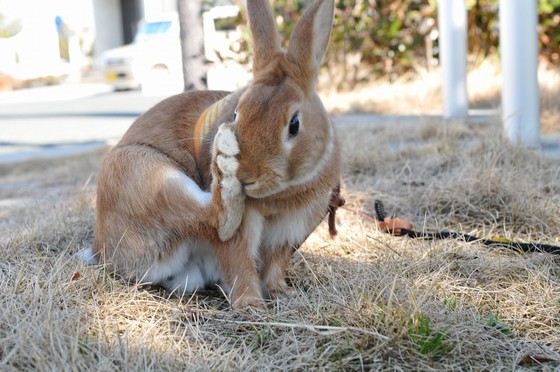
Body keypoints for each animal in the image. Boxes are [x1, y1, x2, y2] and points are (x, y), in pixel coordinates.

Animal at [89, 0, 342, 308]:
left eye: (294, 125)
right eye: (236, 114)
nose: (246, 177)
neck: (281, 196)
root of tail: (101, 250)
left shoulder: (291, 233)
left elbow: (275, 266)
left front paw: (281, 293)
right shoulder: (243, 233)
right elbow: (238, 261)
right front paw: (251, 305)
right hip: (147, 177)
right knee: (214, 219)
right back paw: (223, 160)